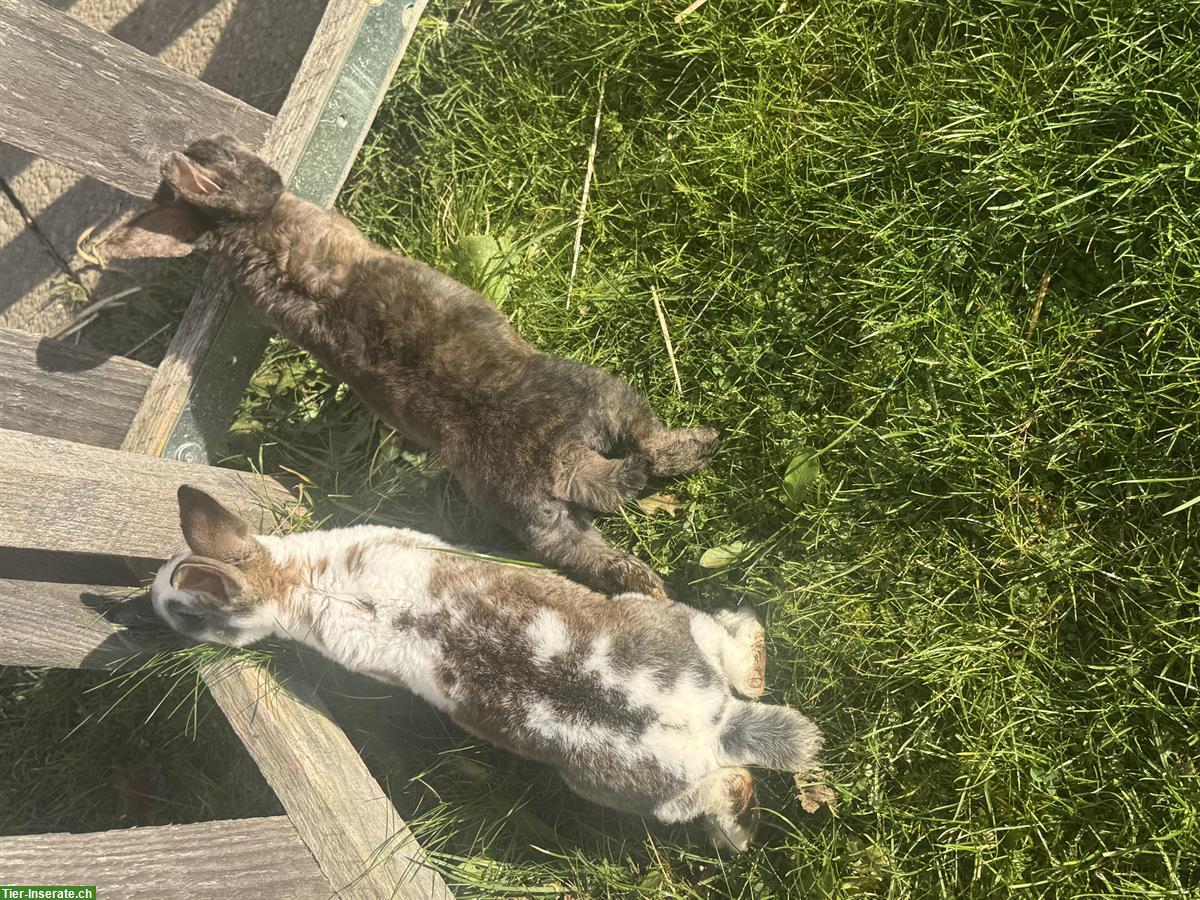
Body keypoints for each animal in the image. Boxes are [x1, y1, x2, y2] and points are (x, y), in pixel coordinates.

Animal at [107, 135, 720, 600]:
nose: (223, 138)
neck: (247, 229)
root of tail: (561, 459)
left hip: (542, 519)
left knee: (596, 553)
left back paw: (644, 583)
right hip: (600, 395)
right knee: (651, 441)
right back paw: (697, 452)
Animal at [151, 485, 824, 850]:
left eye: (178, 610)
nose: (150, 602)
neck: (294, 583)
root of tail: (716, 724)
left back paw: (736, 835)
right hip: (672, 659)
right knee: (739, 687)